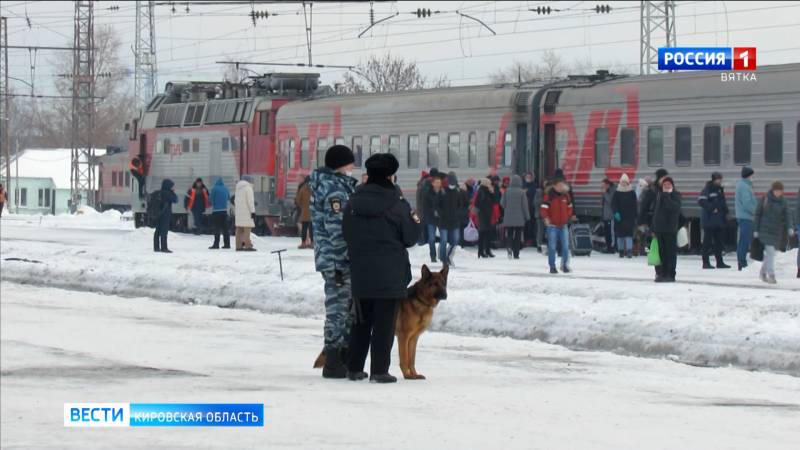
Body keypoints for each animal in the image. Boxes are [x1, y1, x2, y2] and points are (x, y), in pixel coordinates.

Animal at [312, 264, 450, 380]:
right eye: (434, 284)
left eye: (444, 284)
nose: (445, 295)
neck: (420, 300)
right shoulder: (403, 337)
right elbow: (405, 359)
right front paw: (407, 375)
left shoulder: (413, 339)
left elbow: (412, 359)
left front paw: (414, 375)